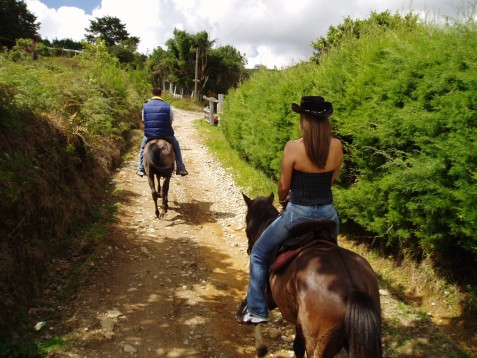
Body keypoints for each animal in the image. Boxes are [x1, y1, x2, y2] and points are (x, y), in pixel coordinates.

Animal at [240, 194, 382, 356]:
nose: (249, 250)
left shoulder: (267, 295)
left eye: (247, 228)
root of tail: (352, 287)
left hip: (317, 344)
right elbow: (297, 346)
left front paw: (260, 347)